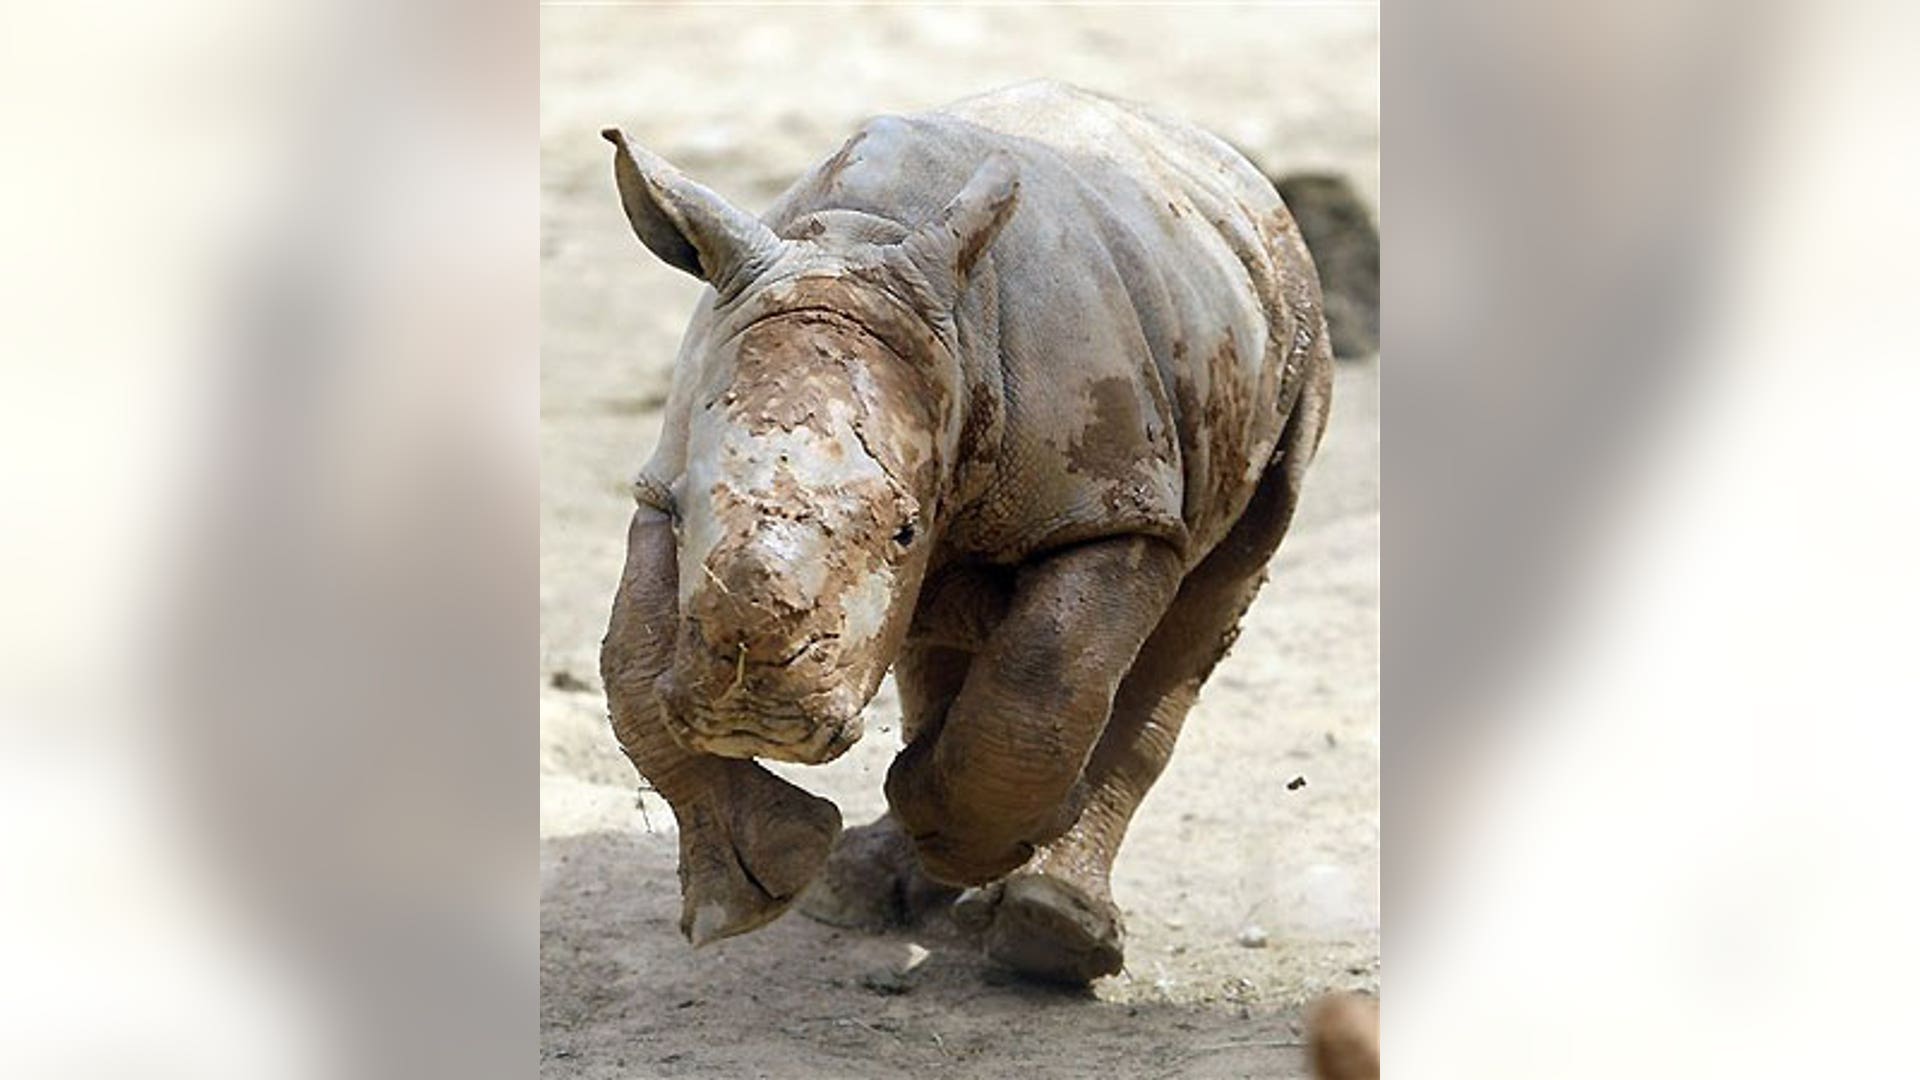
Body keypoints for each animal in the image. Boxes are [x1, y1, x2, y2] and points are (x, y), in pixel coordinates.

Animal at [599, 80, 1333, 983]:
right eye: (690, 506)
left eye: (906, 532)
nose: (755, 711)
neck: (861, 239)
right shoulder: (660, 484)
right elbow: (631, 668)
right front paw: (756, 889)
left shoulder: (1110, 506)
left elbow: (1044, 677)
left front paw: (964, 838)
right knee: (939, 637)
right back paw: (861, 887)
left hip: (1291, 350)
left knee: (1204, 610)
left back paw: (1048, 930)